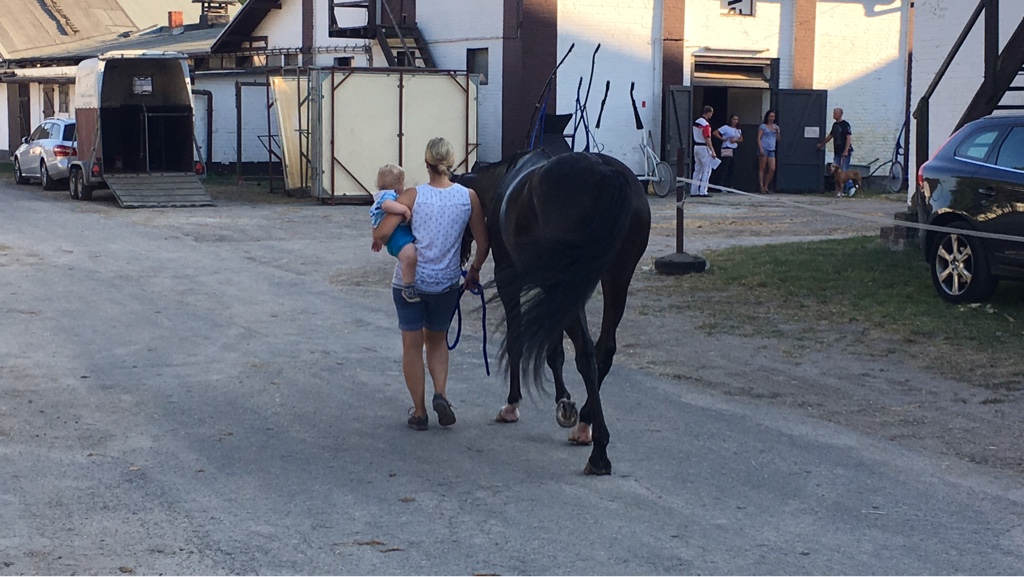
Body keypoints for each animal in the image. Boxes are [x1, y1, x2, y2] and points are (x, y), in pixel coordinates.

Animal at [456, 149, 652, 475]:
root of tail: (604, 171)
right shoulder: (554, 293)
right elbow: (554, 350)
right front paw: (564, 402)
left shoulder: (511, 280)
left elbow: (519, 341)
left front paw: (513, 404)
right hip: (615, 278)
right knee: (603, 350)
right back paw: (585, 424)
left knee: (586, 353)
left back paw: (598, 451)